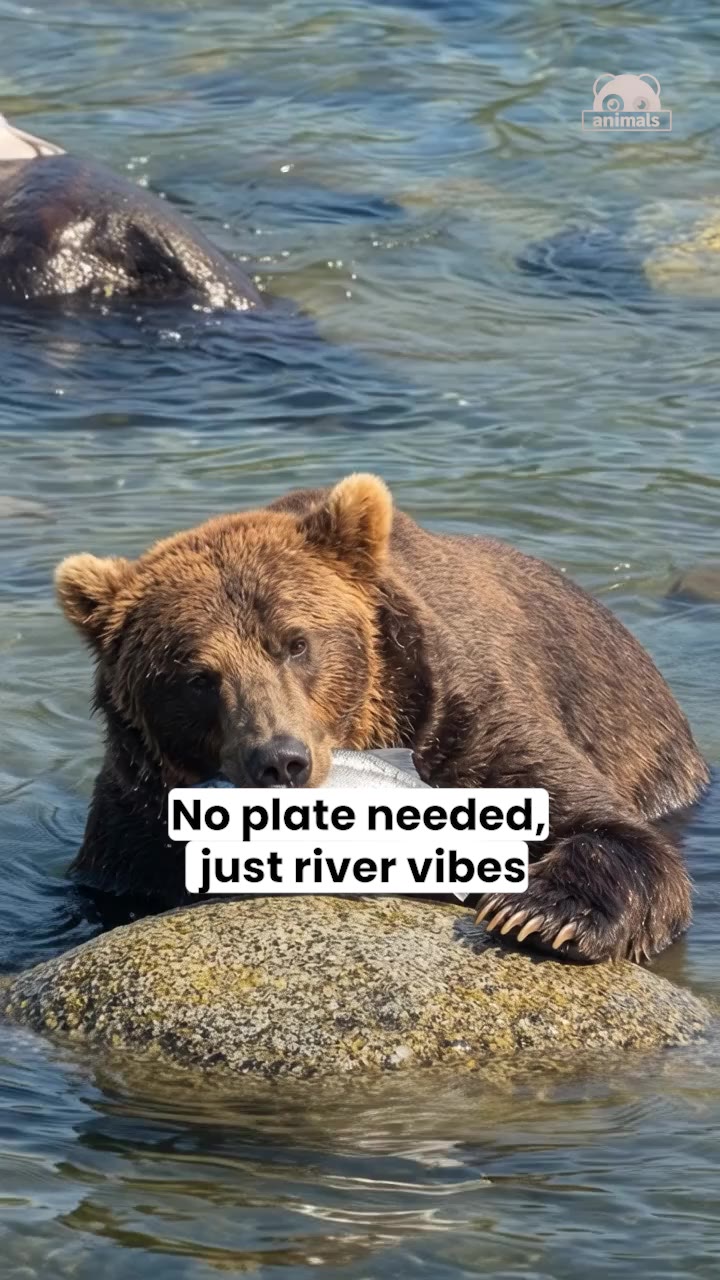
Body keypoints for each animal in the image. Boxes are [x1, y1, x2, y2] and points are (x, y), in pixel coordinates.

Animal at [55, 474, 709, 963]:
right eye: (198, 677)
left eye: (295, 643)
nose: (279, 761)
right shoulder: (136, 808)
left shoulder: (466, 723)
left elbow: (607, 828)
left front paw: (541, 913)